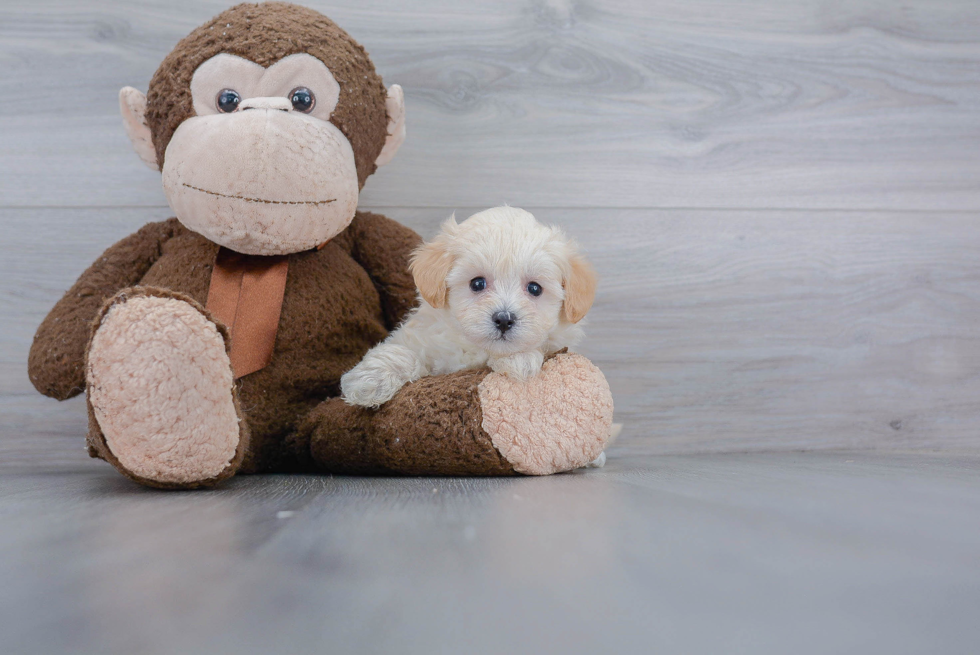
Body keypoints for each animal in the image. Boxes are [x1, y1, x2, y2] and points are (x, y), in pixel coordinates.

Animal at [340, 206, 592, 410]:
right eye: (477, 284)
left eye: (534, 289)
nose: (504, 319)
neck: (475, 349)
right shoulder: (422, 338)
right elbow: (402, 351)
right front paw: (370, 381)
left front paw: (518, 360)